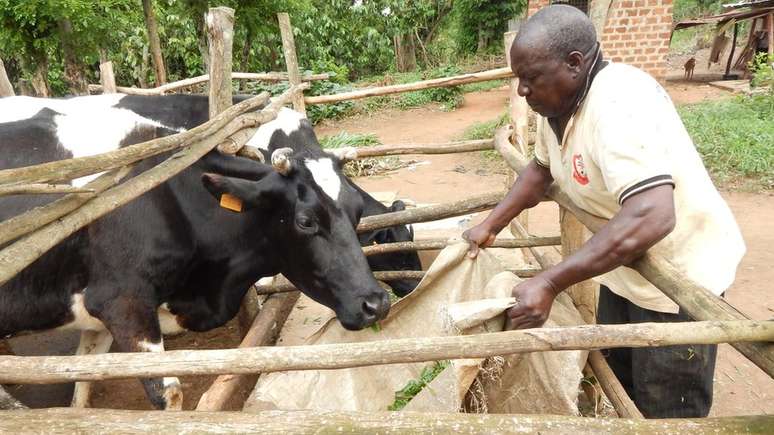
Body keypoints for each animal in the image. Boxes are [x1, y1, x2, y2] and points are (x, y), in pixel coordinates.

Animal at [0, 98, 388, 408]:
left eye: (357, 211)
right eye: (305, 221)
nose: (376, 303)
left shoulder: (94, 312)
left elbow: (84, 382)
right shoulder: (122, 301)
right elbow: (168, 394)